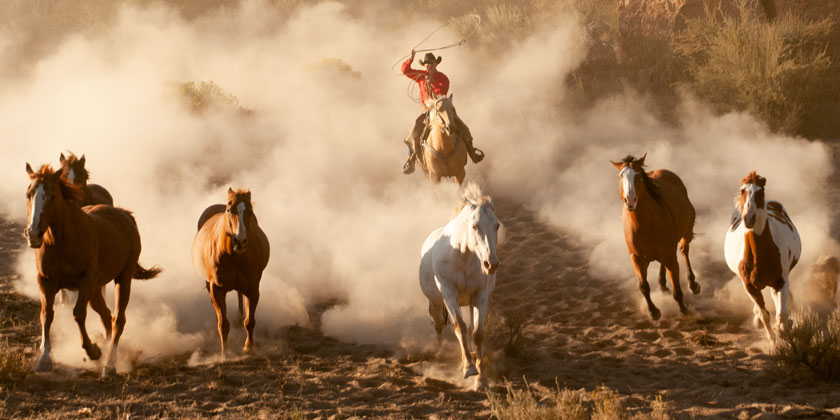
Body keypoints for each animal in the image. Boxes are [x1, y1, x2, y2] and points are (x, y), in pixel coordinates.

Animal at [25, 162, 159, 376]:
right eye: (28, 194)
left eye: (52, 195)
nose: (33, 234)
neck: (63, 241)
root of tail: (124, 214)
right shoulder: (45, 282)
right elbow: (47, 315)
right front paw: (44, 360)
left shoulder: (85, 282)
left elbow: (78, 314)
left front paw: (93, 350)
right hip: (96, 291)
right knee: (106, 316)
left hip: (123, 278)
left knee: (118, 319)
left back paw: (110, 364)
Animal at [190, 189, 270, 360]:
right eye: (229, 210)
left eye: (250, 211)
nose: (240, 241)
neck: (234, 256)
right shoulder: (217, 289)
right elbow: (223, 324)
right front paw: (224, 353)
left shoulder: (253, 289)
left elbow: (250, 321)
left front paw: (248, 348)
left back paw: (239, 319)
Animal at [418, 184, 498, 390]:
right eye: (475, 226)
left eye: (497, 225)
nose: (491, 264)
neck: (463, 257)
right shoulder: (449, 296)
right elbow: (459, 327)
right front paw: (468, 368)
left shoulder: (480, 297)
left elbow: (477, 333)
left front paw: (481, 380)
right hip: (436, 302)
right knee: (439, 324)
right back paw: (439, 351)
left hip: (469, 303)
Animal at [612, 156, 704, 320]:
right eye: (620, 176)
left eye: (638, 176)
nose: (630, 200)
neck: (645, 226)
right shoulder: (636, 258)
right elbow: (643, 286)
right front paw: (654, 312)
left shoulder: (670, 256)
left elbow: (676, 286)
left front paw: (683, 308)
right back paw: (662, 285)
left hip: (686, 233)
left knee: (684, 250)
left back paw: (693, 284)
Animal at [720, 171, 800, 342]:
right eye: (742, 190)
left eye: (760, 192)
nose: (749, 218)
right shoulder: (749, 286)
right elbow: (765, 315)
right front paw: (773, 341)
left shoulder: (781, 280)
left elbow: (781, 314)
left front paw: (784, 330)